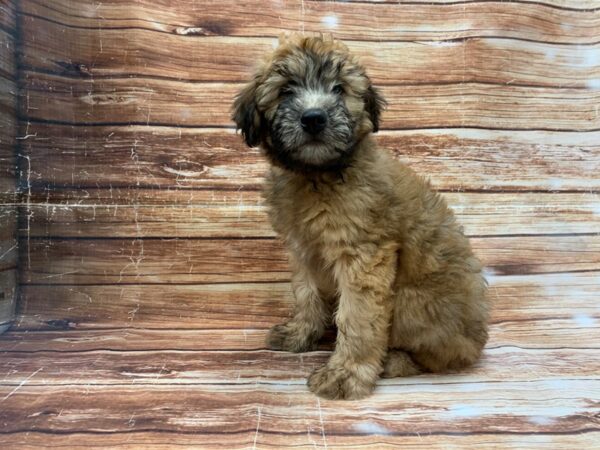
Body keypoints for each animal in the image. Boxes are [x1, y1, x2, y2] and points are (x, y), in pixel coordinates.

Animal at [232, 35, 490, 400]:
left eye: (339, 89)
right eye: (286, 90)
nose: (314, 118)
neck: (317, 175)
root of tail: (477, 339)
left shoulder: (364, 256)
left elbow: (357, 317)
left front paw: (346, 374)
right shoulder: (304, 250)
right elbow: (307, 294)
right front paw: (300, 334)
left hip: (414, 302)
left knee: (442, 356)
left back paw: (396, 361)